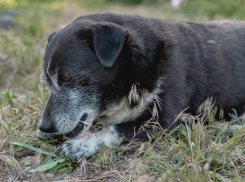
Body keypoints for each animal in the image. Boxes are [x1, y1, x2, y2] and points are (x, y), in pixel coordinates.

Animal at [37, 12, 245, 161]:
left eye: (66, 77)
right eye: (46, 81)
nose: (45, 127)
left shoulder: (168, 121)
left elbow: (116, 129)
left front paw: (82, 144)